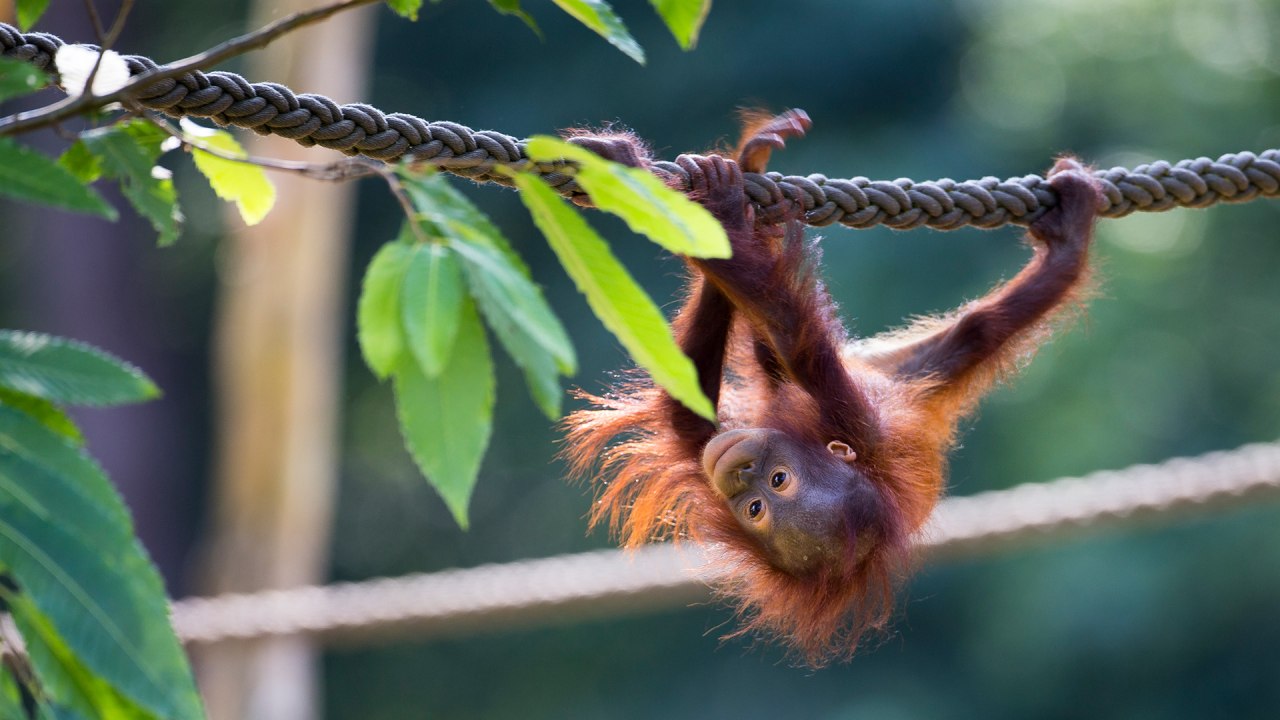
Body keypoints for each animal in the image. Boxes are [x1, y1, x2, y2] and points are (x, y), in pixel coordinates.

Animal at [561, 110, 1103, 665]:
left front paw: (716, 202)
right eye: (756, 503)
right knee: (974, 332)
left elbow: (782, 332)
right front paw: (723, 188)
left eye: (770, 492)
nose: (739, 475)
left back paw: (1064, 245)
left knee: (961, 330)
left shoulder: (846, 413)